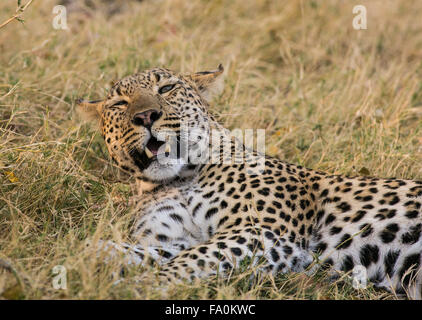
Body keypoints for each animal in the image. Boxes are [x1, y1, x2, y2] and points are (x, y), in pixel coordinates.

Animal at [76, 63, 422, 298]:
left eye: (166, 89)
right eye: (119, 104)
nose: (145, 116)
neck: (179, 179)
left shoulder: (262, 231)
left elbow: (194, 259)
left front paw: (144, 285)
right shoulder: (170, 240)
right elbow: (118, 249)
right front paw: (84, 259)